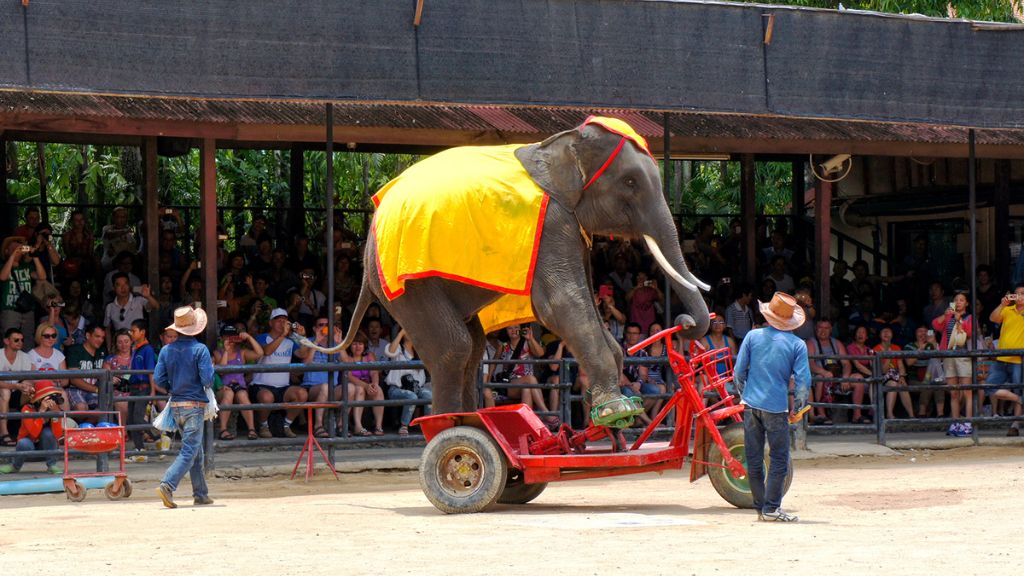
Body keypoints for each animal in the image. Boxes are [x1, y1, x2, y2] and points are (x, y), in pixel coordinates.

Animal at [319, 115, 712, 426]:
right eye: (630, 183)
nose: (684, 324)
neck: (560, 143)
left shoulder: (570, 226)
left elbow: (582, 298)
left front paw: (610, 400)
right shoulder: (554, 222)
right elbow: (560, 304)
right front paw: (619, 410)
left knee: (473, 345)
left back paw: (470, 420)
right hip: (409, 283)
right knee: (455, 347)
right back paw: (445, 426)